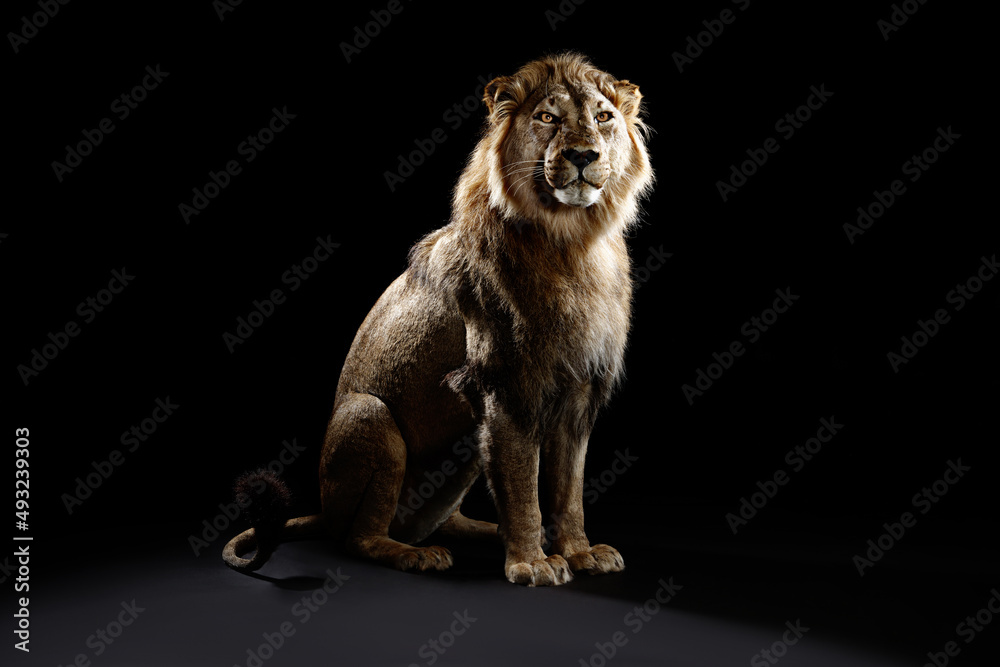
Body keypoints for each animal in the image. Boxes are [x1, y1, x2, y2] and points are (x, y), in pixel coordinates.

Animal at [223, 52, 654, 586]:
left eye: (603, 117)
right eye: (547, 118)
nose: (583, 156)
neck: (572, 241)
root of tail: (324, 509)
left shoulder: (579, 389)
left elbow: (568, 491)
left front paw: (578, 552)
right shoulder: (503, 385)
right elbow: (522, 486)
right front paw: (532, 562)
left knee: (441, 519)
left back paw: (485, 532)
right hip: (370, 416)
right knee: (357, 538)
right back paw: (416, 554)